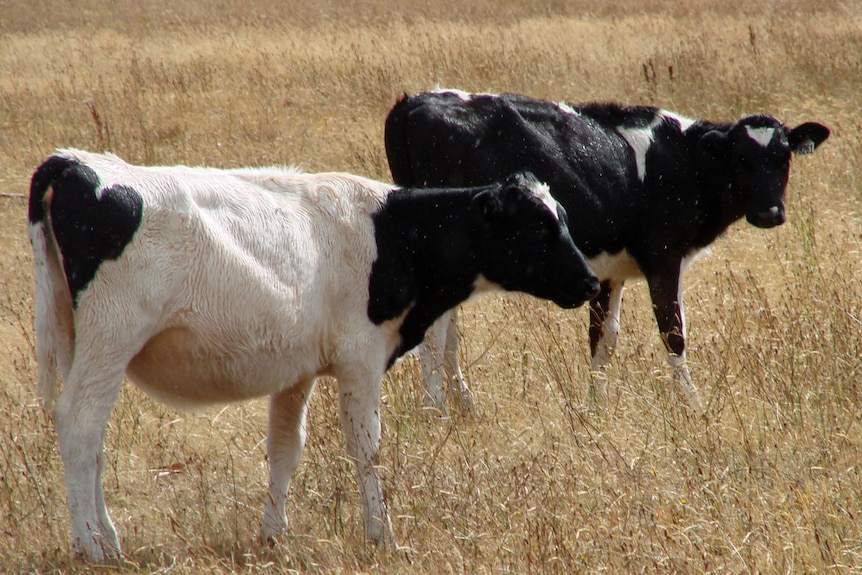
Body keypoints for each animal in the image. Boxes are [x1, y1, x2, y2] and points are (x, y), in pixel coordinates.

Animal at [25, 150, 592, 564]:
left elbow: (284, 449)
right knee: (79, 423)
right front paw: (381, 533)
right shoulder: (361, 358)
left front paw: (272, 534)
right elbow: (367, 447)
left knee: (94, 440)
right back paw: (91, 544)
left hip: (85, 344)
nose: (589, 281)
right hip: (110, 338)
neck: (392, 234)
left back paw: (108, 536)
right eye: (538, 226)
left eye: (564, 218)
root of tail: (77, 162)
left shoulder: (295, 369)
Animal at [384, 89, 832, 410]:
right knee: (435, 333)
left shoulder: (609, 272)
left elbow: (603, 338)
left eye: (783, 158)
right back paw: (437, 409)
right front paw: (694, 407)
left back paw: (462, 405)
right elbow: (673, 332)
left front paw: (595, 406)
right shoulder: (663, 258)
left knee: (448, 331)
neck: (683, 161)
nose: (770, 212)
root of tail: (414, 102)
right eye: (740, 159)